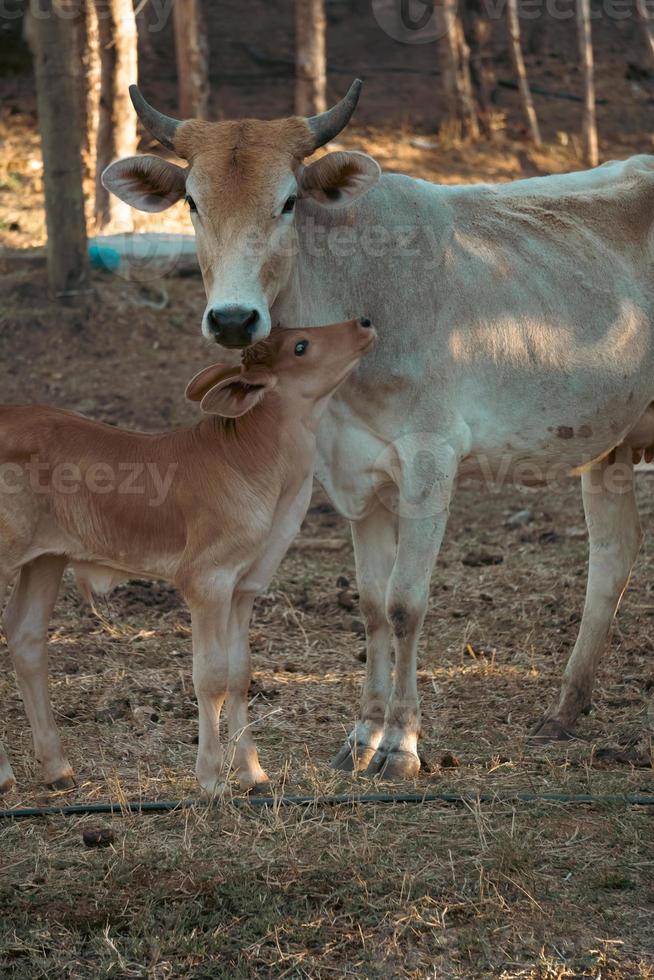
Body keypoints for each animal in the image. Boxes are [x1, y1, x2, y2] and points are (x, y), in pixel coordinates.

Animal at [0, 318, 376, 792]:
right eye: (301, 346)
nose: (363, 322)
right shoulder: (207, 578)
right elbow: (211, 676)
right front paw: (212, 779)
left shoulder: (245, 583)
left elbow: (239, 673)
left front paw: (253, 773)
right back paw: (5, 774)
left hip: (46, 557)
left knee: (26, 634)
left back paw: (56, 768)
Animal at [104, 80, 654, 776]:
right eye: (193, 203)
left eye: (288, 201)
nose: (232, 318)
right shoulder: (350, 474)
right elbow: (369, 605)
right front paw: (362, 734)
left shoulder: (430, 463)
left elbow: (404, 603)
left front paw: (400, 743)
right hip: (609, 443)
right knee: (613, 554)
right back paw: (565, 709)